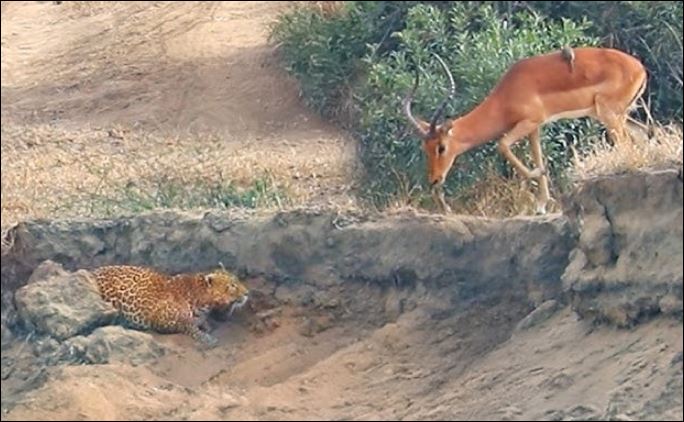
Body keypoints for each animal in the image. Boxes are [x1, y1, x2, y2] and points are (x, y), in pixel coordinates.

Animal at [403, 47, 648, 214]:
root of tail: (640, 68)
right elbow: (537, 155)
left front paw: (538, 178)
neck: (505, 96)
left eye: (441, 147)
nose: (434, 180)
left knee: (626, 143)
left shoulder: (529, 122)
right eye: (425, 148)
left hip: (609, 115)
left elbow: (502, 145)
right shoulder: (534, 128)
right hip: (618, 115)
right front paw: (541, 204)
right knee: (644, 133)